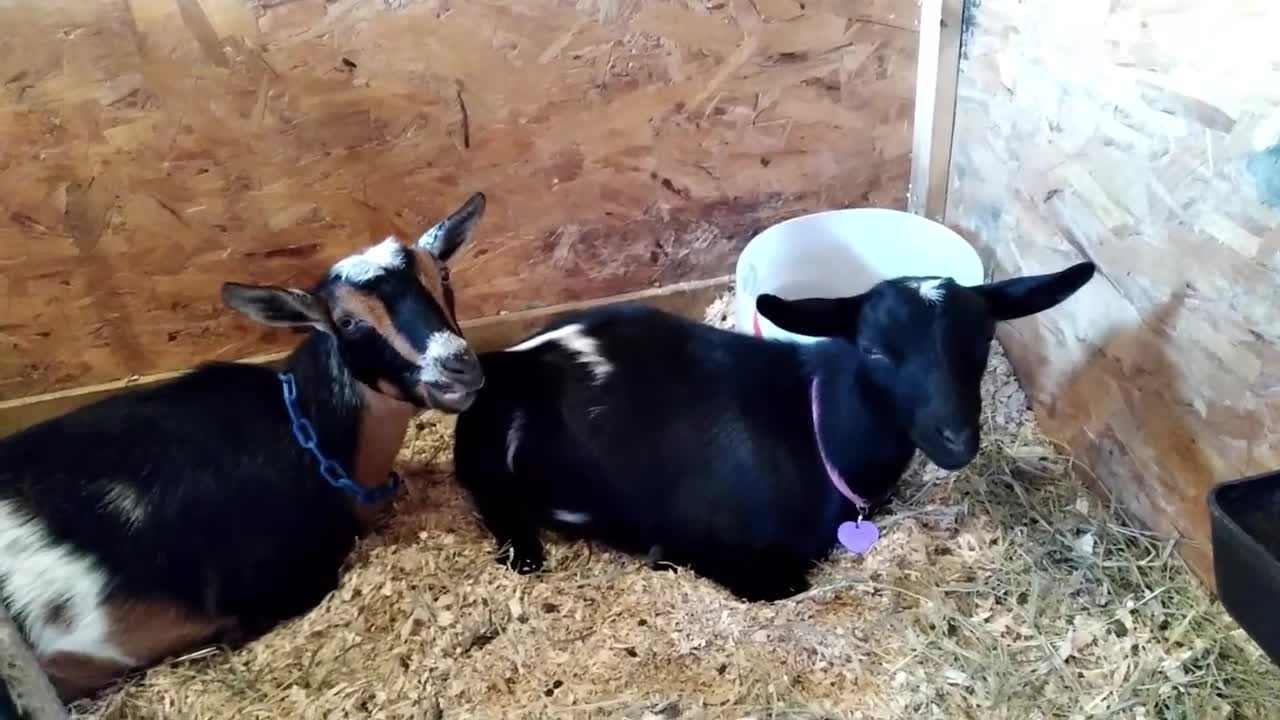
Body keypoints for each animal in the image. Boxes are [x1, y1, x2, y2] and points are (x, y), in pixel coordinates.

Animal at [450, 260, 1090, 597]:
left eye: (981, 342)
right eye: (873, 350)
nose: (957, 437)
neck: (815, 428)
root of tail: (508, 360)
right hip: (492, 455)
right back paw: (523, 550)